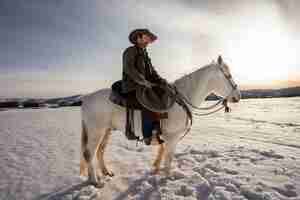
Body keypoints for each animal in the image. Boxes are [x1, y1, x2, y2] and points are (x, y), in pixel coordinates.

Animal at [79, 55, 241, 186]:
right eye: (228, 75)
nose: (238, 96)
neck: (181, 101)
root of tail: (86, 98)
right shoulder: (172, 138)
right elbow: (168, 158)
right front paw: (167, 178)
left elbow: (162, 154)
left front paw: (157, 169)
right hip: (96, 131)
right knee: (89, 153)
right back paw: (95, 181)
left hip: (107, 131)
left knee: (100, 151)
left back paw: (106, 172)